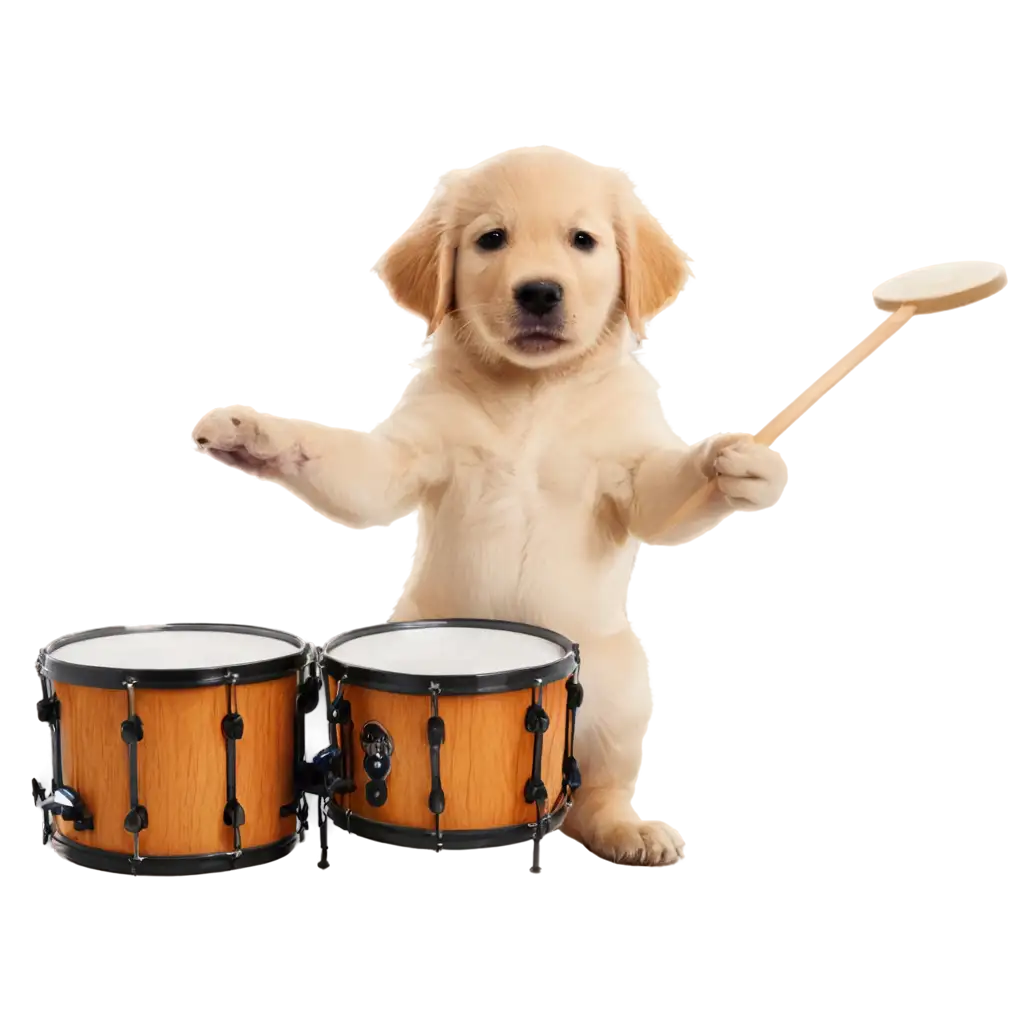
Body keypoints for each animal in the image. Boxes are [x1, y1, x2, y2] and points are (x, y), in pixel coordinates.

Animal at [188, 144, 786, 864]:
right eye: (491, 239)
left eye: (582, 241)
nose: (539, 291)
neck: (532, 392)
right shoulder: (409, 457)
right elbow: (348, 467)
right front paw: (255, 434)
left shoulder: (628, 473)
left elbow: (660, 496)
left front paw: (733, 466)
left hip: (619, 693)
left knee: (597, 789)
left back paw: (626, 827)